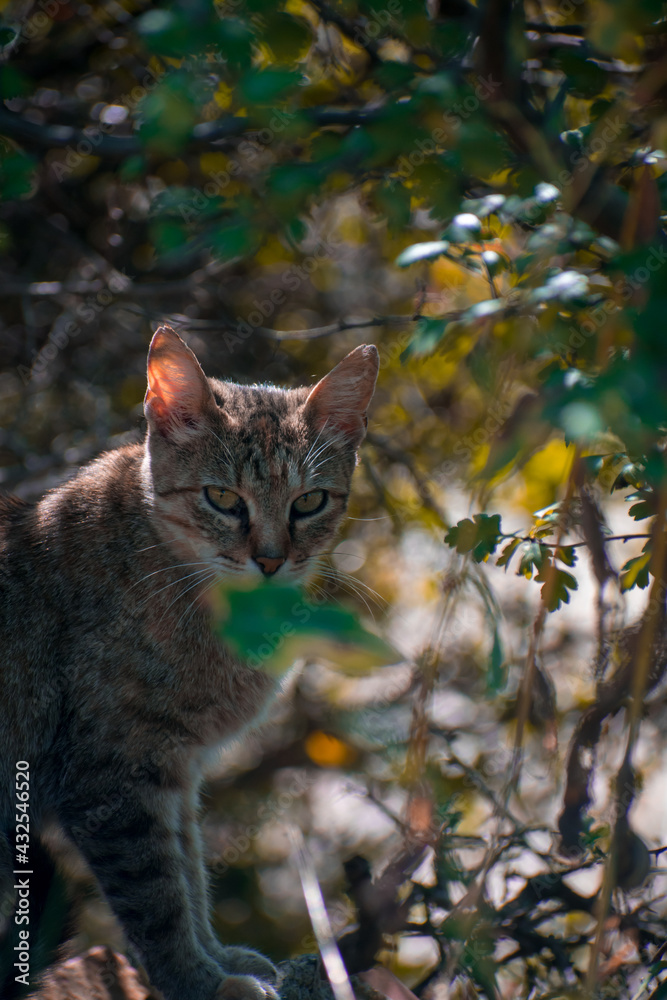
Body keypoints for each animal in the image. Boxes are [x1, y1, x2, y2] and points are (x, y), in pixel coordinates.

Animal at [0, 324, 380, 996]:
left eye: (309, 502)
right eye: (223, 497)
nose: (271, 559)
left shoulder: (174, 768)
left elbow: (190, 871)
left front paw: (218, 959)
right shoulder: (114, 772)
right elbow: (157, 895)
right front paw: (197, 980)